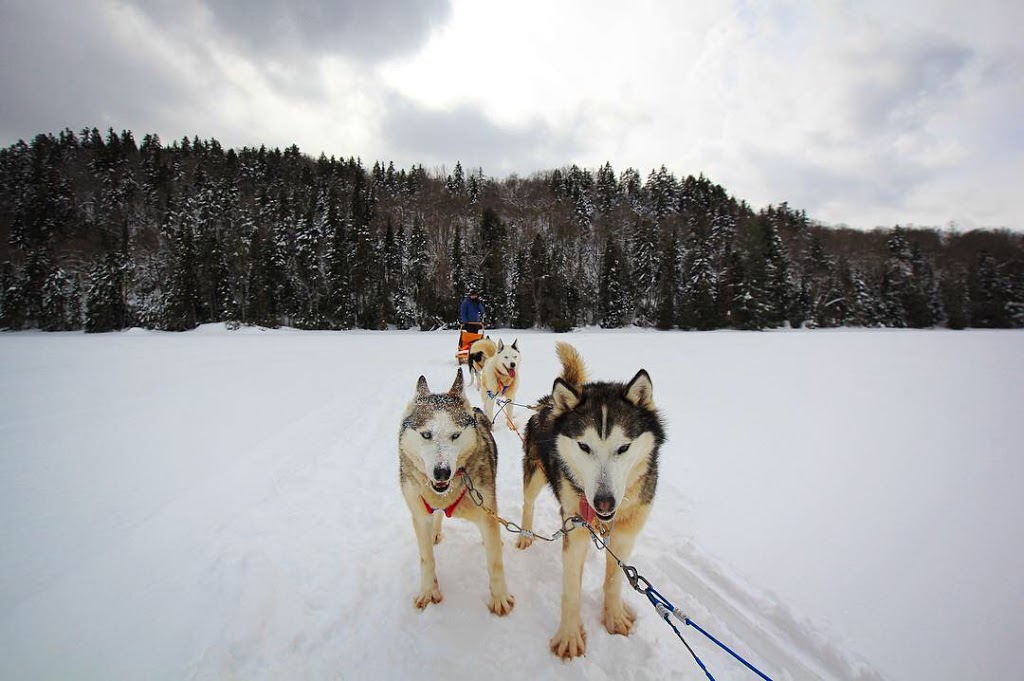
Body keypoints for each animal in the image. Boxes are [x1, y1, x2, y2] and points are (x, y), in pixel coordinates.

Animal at [397, 368, 516, 614]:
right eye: (426, 435)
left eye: (455, 435)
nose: (442, 472)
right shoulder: (419, 516)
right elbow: (426, 559)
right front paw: (428, 591)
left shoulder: (486, 511)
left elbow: (495, 562)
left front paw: (499, 597)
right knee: (437, 516)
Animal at [520, 342, 663, 655]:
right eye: (584, 446)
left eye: (624, 447)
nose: (604, 503)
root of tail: (548, 403)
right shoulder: (575, 530)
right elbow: (571, 589)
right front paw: (569, 636)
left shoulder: (625, 534)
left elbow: (614, 580)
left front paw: (614, 617)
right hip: (534, 474)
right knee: (528, 503)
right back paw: (524, 534)